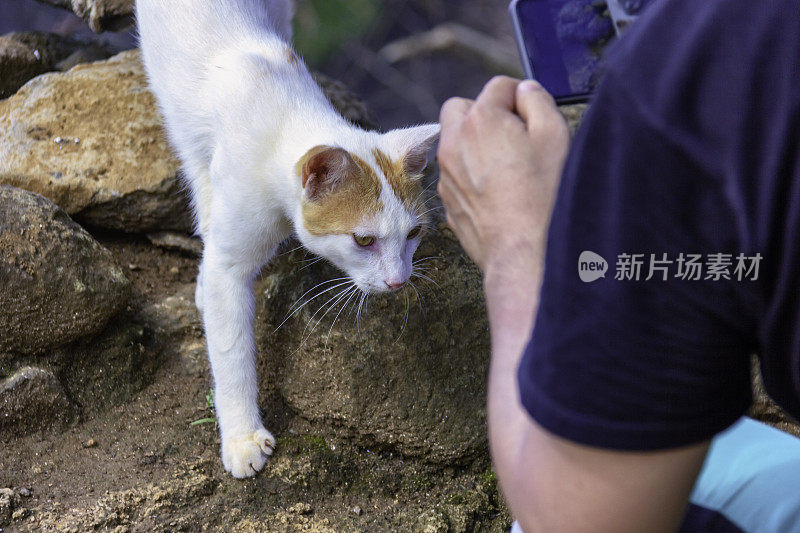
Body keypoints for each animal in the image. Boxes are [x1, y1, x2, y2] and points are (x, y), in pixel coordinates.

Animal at [135, 0, 440, 474]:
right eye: (363, 241)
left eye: (413, 233)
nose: (398, 281)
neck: (282, 118)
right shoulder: (230, 264)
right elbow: (232, 350)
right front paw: (242, 438)